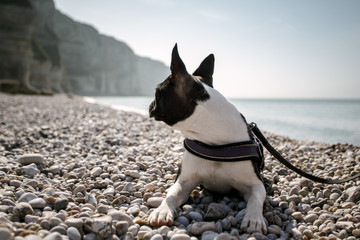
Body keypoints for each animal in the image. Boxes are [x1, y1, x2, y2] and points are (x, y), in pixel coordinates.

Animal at [149, 44, 268, 233]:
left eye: (156, 92)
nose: (150, 104)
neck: (213, 140)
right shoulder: (184, 181)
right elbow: (172, 194)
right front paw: (162, 210)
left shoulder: (255, 184)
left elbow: (256, 199)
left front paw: (254, 219)